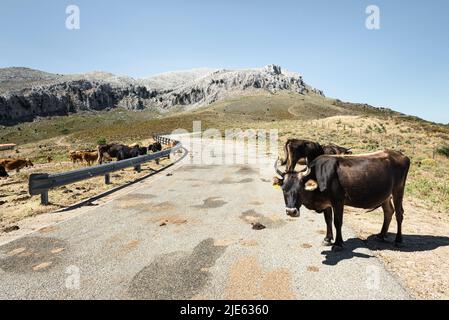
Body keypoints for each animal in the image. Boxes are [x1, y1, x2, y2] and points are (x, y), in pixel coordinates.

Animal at [272, 150, 410, 250]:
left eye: (300, 189)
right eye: (283, 189)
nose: (291, 211)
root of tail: (402, 155)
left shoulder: (338, 201)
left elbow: (337, 222)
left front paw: (338, 243)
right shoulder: (326, 203)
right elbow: (328, 220)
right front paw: (327, 239)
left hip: (398, 190)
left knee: (399, 214)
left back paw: (398, 240)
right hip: (385, 195)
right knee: (388, 212)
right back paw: (381, 235)